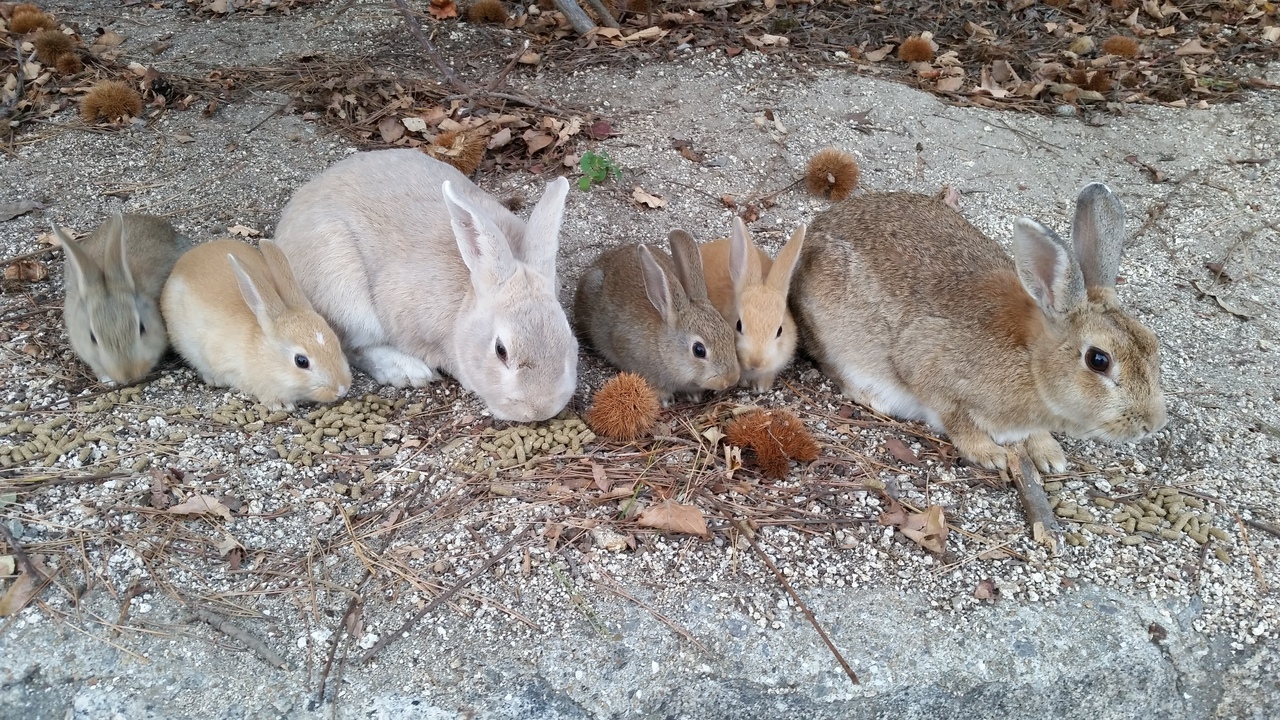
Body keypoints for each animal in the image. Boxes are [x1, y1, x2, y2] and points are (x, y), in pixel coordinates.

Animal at [573, 228, 742, 404]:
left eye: (730, 334)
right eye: (699, 350)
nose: (731, 378)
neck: (662, 346)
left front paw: (693, 395)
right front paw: (665, 399)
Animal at [788, 181, 1162, 471]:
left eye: (1153, 343)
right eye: (1098, 360)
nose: (1153, 425)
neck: (1032, 363)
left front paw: (1049, 455)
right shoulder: (929, 371)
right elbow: (955, 418)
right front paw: (990, 455)